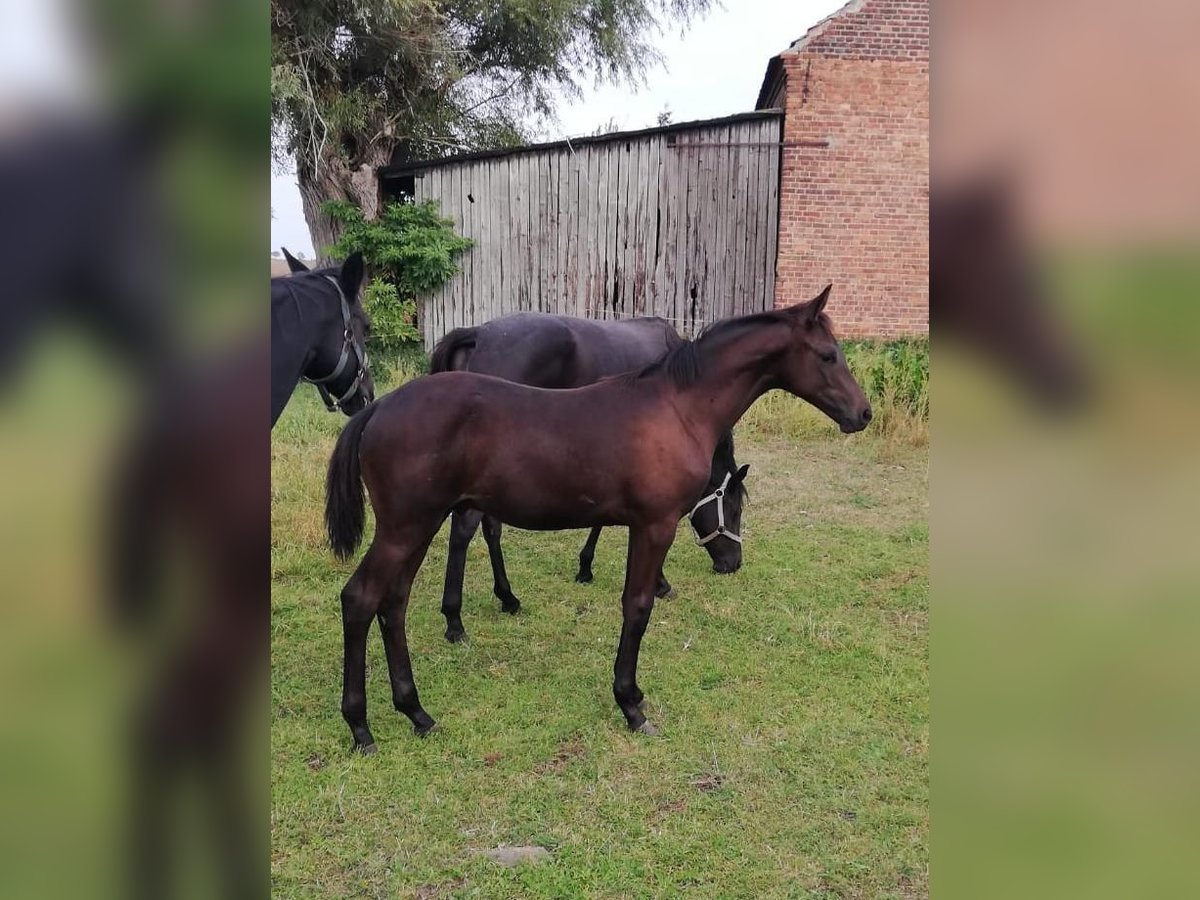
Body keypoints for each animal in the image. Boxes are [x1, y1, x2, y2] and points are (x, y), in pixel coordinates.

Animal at [432, 314, 748, 643]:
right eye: (734, 509)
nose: (733, 563)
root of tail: (477, 334)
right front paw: (659, 583)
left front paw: (585, 567)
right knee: (463, 532)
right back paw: (455, 620)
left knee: (490, 528)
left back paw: (507, 598)